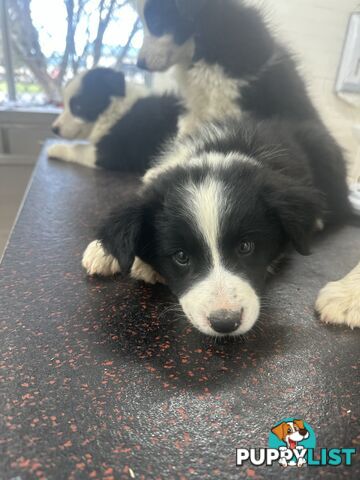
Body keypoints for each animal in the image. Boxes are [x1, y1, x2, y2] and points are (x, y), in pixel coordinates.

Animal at [47, 66, 183, 173]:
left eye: (78, 107)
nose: (54, 129)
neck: (112, 110)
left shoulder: (112, 153)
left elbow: (78, 148)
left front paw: (56, 148)